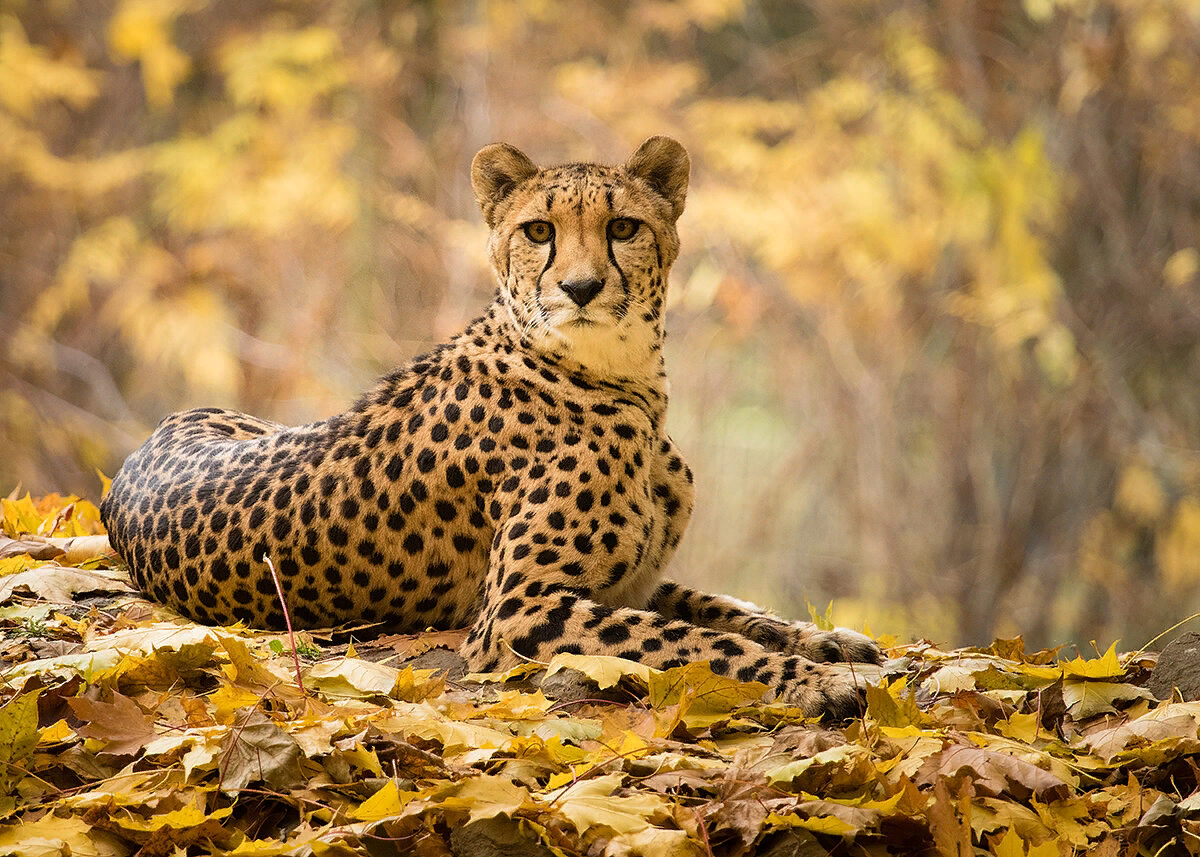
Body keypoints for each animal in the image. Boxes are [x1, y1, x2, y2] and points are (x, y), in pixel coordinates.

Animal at [98, 138, 883, 715]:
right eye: (538, 231)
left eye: (623, 227)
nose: (581, 288)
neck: (626, 382)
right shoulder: (519, 608)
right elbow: (693, 642)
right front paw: (811, 681)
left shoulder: (629, 581)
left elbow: (718, 608)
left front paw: (827, 643)